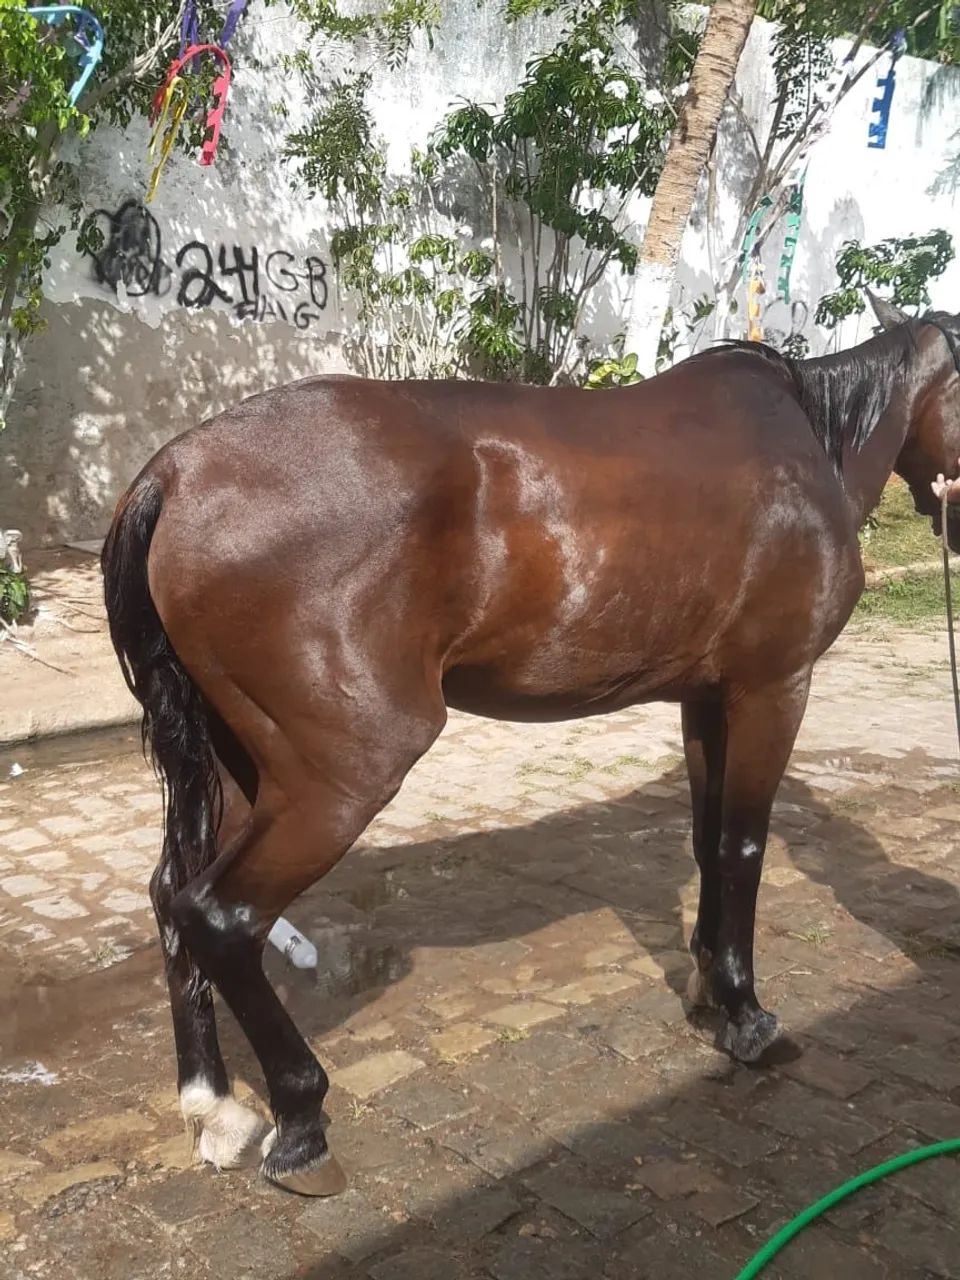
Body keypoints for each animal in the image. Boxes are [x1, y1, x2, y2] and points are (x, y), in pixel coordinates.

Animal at [102, 294, 960, 1196]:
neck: (808, 444)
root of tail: (177, 471)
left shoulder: (706, 697)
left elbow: (706, 840)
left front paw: (705, 985)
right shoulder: (774, 686)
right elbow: (743, 847)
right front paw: (748, 1015)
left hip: (244, 766)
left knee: (171, 895)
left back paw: (217, 1109)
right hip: (341, 776)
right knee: (222, 915)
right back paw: (301, 1123)